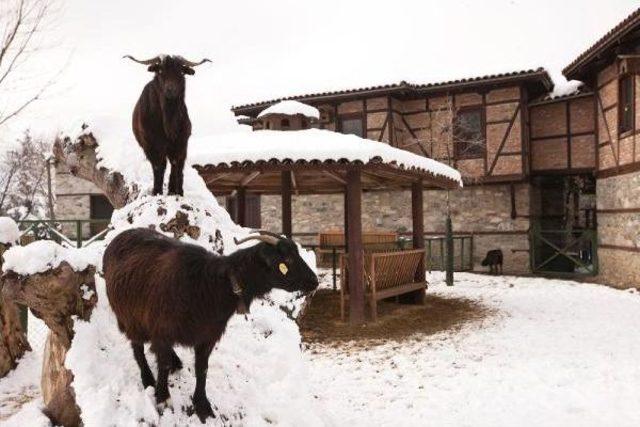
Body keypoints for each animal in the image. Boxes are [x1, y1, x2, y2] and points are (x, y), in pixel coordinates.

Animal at [104, 229, 318, 422]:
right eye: (286, 260)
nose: (314, 281)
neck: (211, 285)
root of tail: (118, 237)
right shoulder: (162, 330)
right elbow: (162, 365)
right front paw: (163, 398)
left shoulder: (207, 336)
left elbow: (202, 369)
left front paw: (202, 406)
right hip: (129, 317)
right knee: (137, 348)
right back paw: (148, 378)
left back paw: (175, 361)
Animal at [125, 55, 212, 197]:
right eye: (160, 71)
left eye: (181, 72)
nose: (170, 90)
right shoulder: (152, 145)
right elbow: (158, 166)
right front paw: (157, 191)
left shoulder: (181, 142)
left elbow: (176, 164)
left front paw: (176, 191)